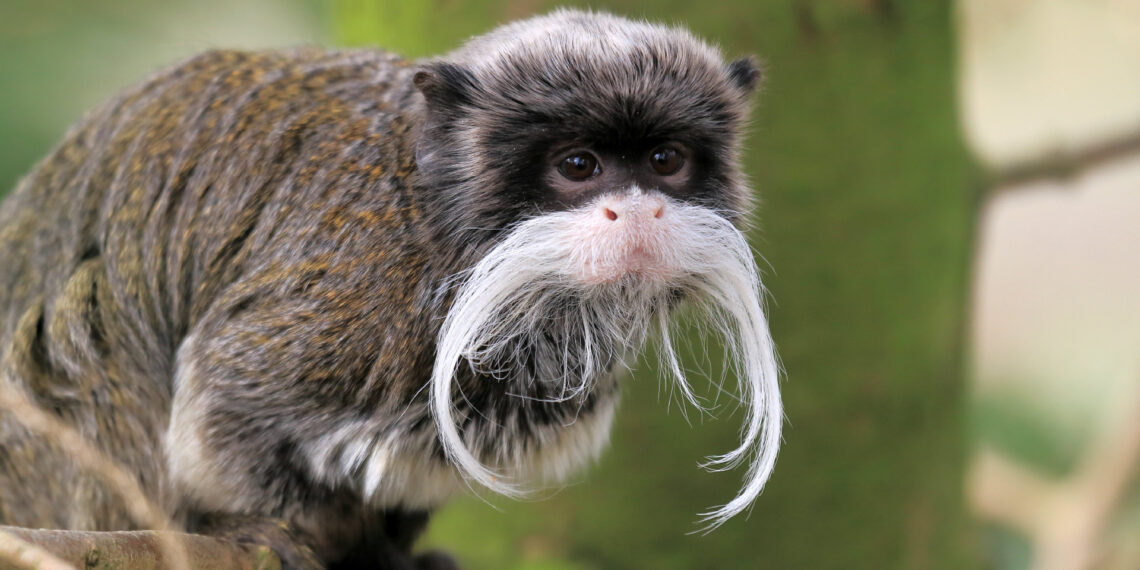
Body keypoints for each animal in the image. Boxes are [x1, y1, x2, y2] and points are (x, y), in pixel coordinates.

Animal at [0, 9, 782, 569]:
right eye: (579, 165)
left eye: (665, 161)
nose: (640, 213)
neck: (436, 225)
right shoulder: (353, 285)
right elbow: (225, 393)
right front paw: (261, 523)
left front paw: (379, 550)